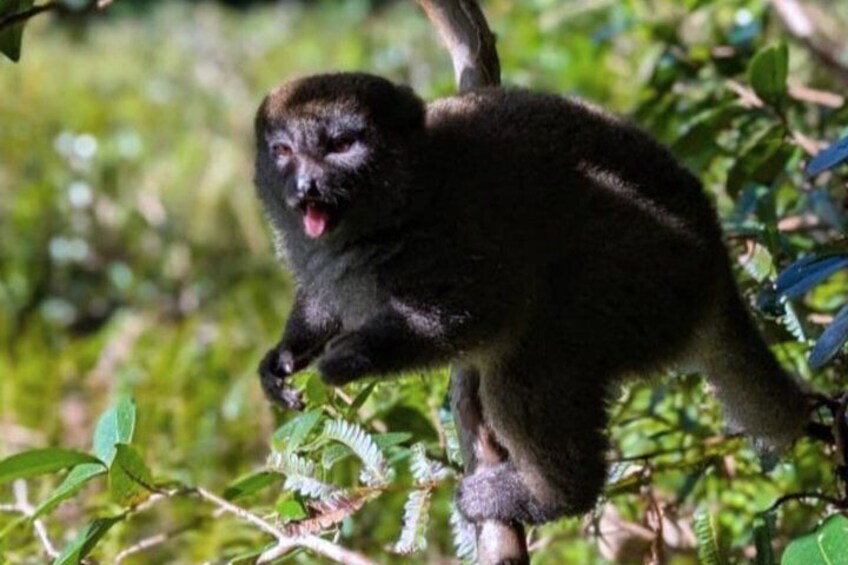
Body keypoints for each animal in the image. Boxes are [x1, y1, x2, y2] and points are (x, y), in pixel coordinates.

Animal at [253, 72, 809, 525]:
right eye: (283, 152)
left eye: (341, 145)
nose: (306, 184)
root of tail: (717, 267)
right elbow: (324, 298)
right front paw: (284, 355)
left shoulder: (455, 233)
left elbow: (482, 312)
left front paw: (353, 356)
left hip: (656, 281)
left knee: (534, 344)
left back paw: (556, 497)